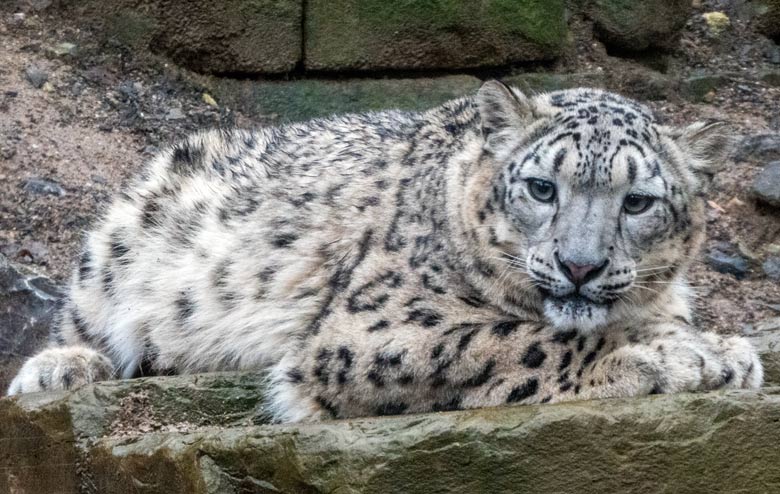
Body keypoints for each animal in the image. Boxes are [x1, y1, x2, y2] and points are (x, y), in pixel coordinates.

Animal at [6, 81, 760, 420]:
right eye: (542, 187)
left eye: (638, 202)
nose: (580, 266)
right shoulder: (370, 328)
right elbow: (522, 340)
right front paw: (680, 357)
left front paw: (719, 349)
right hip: (125, 234)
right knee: (81, 321)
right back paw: (59, 368)